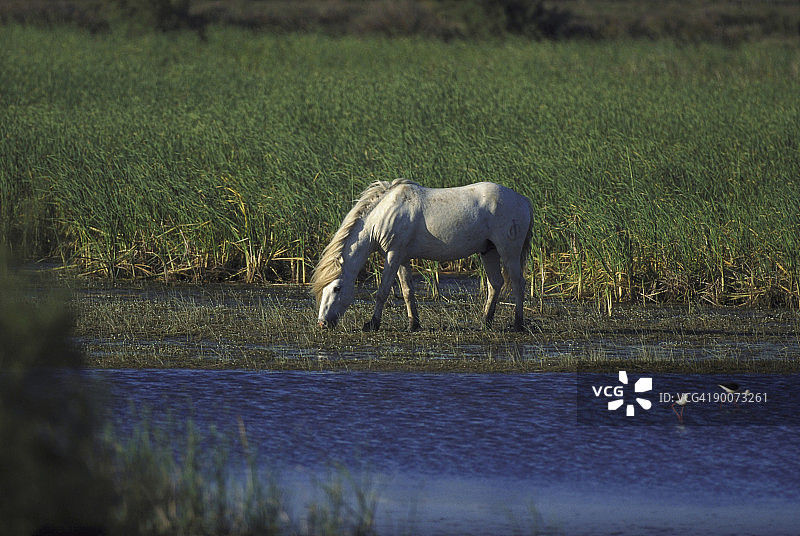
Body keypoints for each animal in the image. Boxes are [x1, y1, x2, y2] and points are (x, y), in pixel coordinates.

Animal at [310, 178, 534, 332]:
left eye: (337, 288)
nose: (322, 323)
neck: (383, 214)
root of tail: (523, 200)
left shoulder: (393, 255)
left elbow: (383, 291)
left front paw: (372, 324)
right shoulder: (401, 258)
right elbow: (407, 291)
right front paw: (413, 324)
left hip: (509, 251)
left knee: (517, 283)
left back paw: (518, 324)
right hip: (488, 251)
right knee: (495, 284)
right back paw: (485, 322)